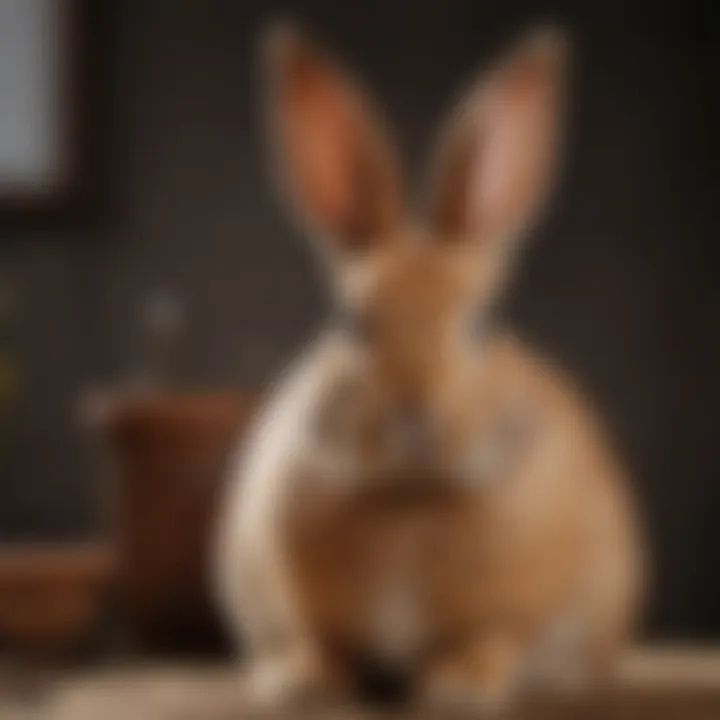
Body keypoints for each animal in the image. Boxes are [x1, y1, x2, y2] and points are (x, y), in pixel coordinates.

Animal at [215, 22, 648, 716]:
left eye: (479, 323)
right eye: (351, 322)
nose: (413, 413)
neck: (410, 495)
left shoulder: (510, 618)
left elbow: (490, 641)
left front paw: (456, 688)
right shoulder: (307, 608)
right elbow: (324, 643)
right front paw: (299, 683)